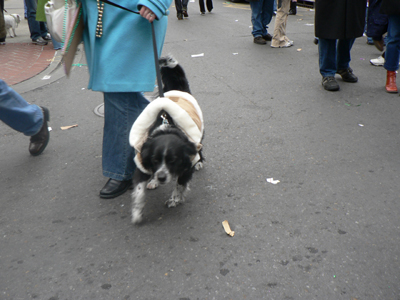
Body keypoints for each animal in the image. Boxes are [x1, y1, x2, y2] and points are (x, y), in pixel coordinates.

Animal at [129, 55, 203, 224]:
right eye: (155, 159)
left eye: (173, 160)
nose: (162, 177)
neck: (167, 128)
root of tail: (179, 90)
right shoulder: (142, 162)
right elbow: (139, 190)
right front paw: (137, 212)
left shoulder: (188, 164)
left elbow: (179, 185)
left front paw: (175, 200)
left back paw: (200, 162)